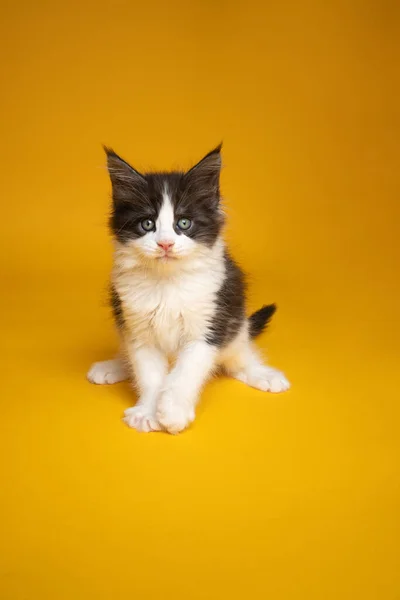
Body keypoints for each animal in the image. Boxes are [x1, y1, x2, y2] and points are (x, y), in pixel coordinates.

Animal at [87, 147, 290, 434]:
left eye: (183, 223)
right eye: (147, 224)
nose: (165, 244)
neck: (167, 281)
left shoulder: (209, 324)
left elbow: (187, 370)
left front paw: (173, 411)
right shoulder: (137, 327)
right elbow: (149, 373)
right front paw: (148, 411)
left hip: (235, 323)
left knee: (238, 356)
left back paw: (261, 373)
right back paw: (113, 366)